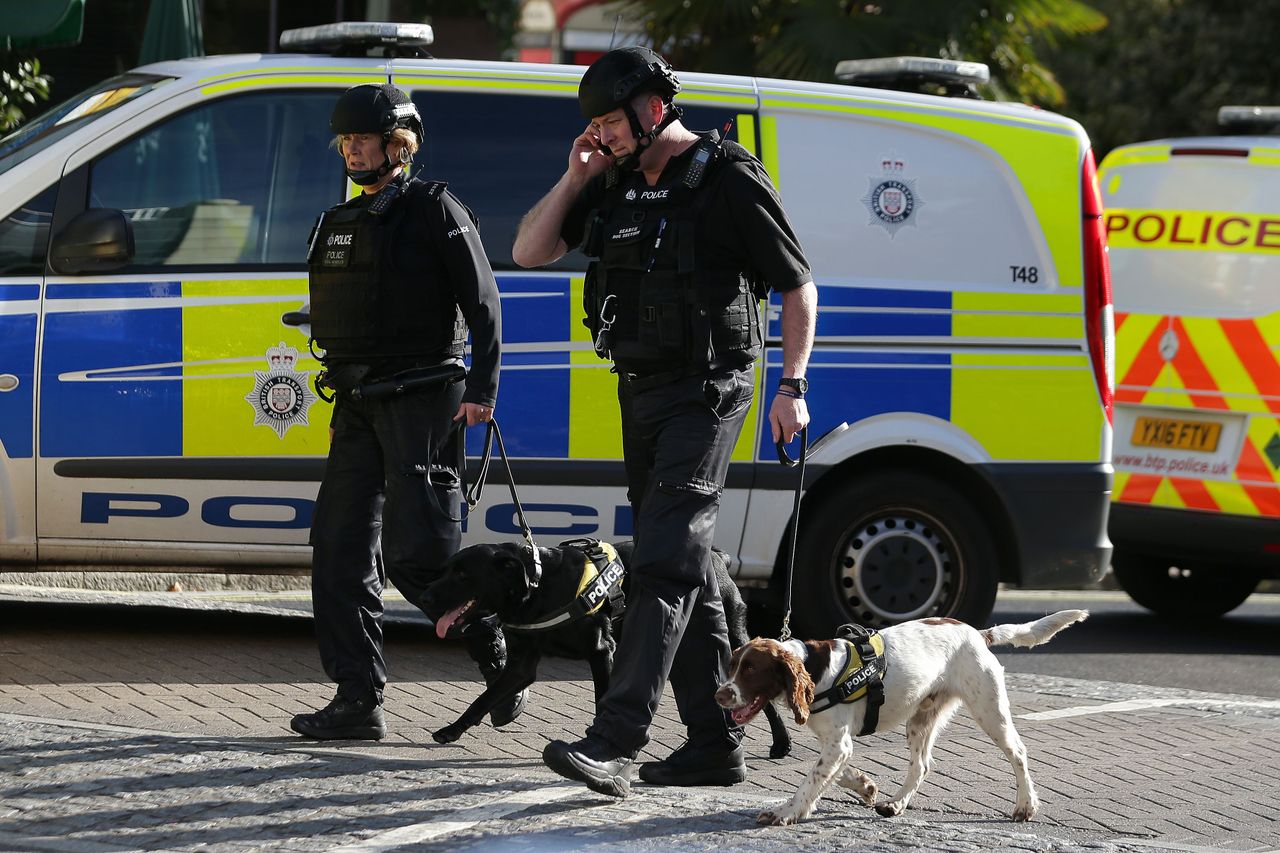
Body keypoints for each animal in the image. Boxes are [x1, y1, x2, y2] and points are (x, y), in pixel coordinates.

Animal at [419, 540, 788, 753]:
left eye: (463, 574)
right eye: (446, 570)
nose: (425, 596)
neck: (540, 586)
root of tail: (718, 557)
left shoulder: (601, 652)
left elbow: (601, 700)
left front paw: (599, 744)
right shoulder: (522, 664)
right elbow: (483, 698)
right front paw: (452, 730)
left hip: (734, 644)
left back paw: (781, 743)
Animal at [716, 607, 1085, 819]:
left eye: (751, 669)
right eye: (732, 666)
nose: (720, 695)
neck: (814, 667)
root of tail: (977, 633)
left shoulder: (838, 743)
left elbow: (812, 779)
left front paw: (788, 811)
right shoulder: (837, 743)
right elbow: (835, 771)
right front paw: (865, 786)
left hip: (988, 708)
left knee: (1018, 752)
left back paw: (1025, 805)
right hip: (921, 719)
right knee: (921, 765)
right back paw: (895, 804)